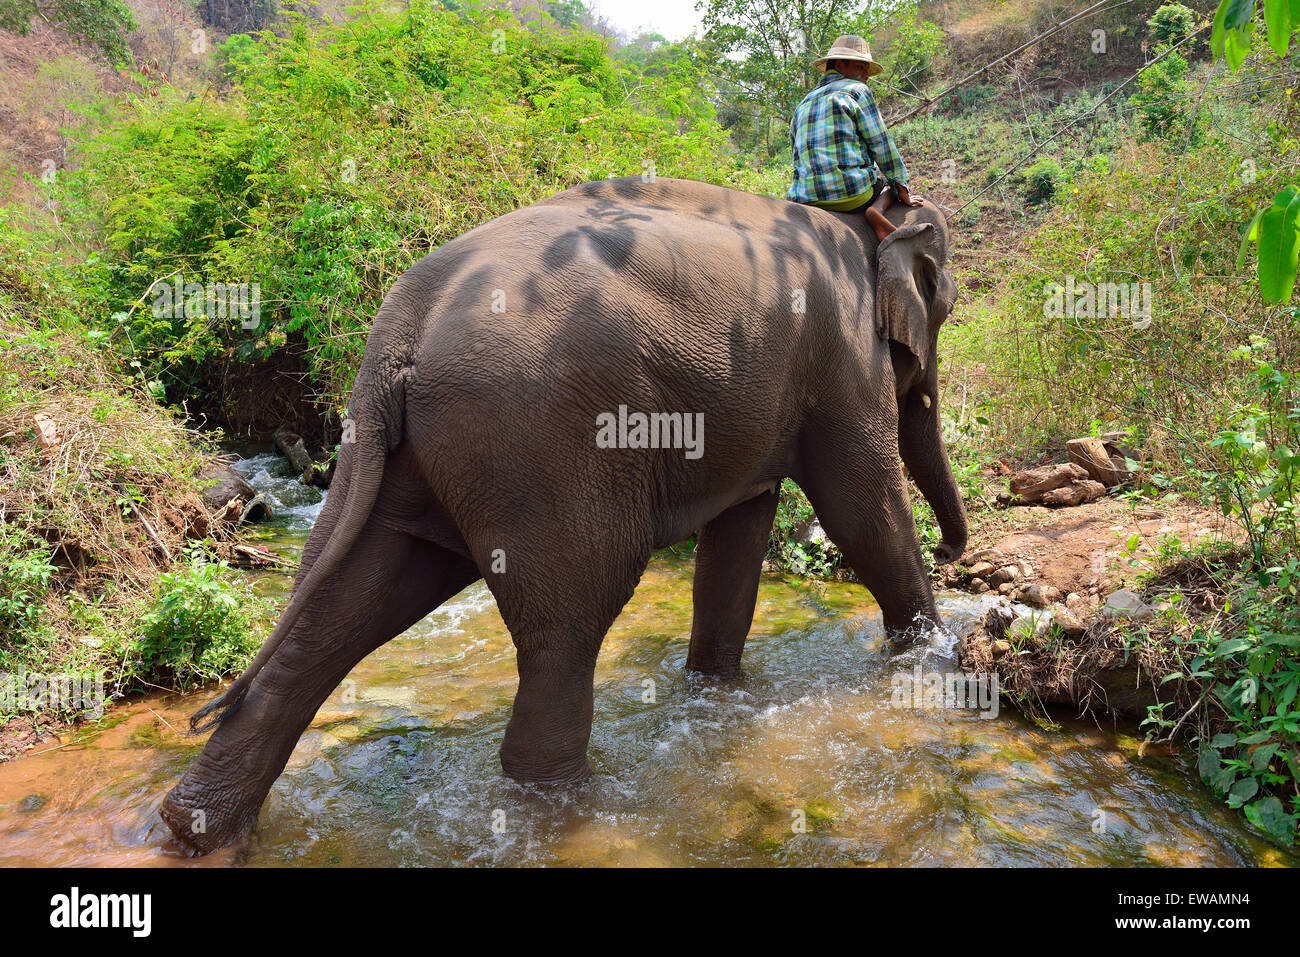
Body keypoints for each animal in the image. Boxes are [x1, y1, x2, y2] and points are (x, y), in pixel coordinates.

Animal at [160, 176, 965, 854]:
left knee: (343, 600)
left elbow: (739, 531)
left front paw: (718, 690)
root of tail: (400, 325)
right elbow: (861, 507)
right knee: (572, 618)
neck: (863, 224)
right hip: (537, 442)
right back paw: (570, 807)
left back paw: (193, 828)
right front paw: (935, 657)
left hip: (394, 452)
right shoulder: (844, 358)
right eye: (947, 307)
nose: (959, 554)